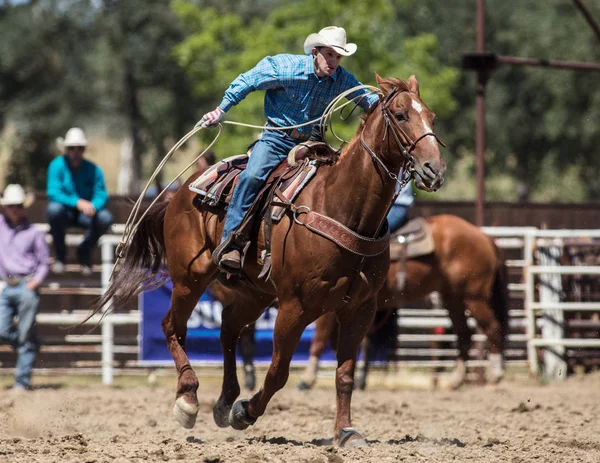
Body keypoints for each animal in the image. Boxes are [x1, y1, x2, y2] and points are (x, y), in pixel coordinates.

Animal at [94, 74, 446, 448]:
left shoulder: (360, 309)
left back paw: (224, 400)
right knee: (172, 327)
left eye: (432, 117)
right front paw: (244, 413)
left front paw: (346, 432)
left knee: (229, 329)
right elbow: (278, 372)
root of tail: (181, 193)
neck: (341, 207)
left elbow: (345, 374)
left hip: (256, 293)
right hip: (190, 279)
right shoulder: (295, 306)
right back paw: (188, 400)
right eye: (401, 115)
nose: (434, 170)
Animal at [298, 216, 508, 390]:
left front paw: (307, 379)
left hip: (474, 297)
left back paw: (495, 375)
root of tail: (483, 236)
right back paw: (455, 380)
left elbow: (320, 340)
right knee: (464, 334)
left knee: (492, 328)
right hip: (453, 299)